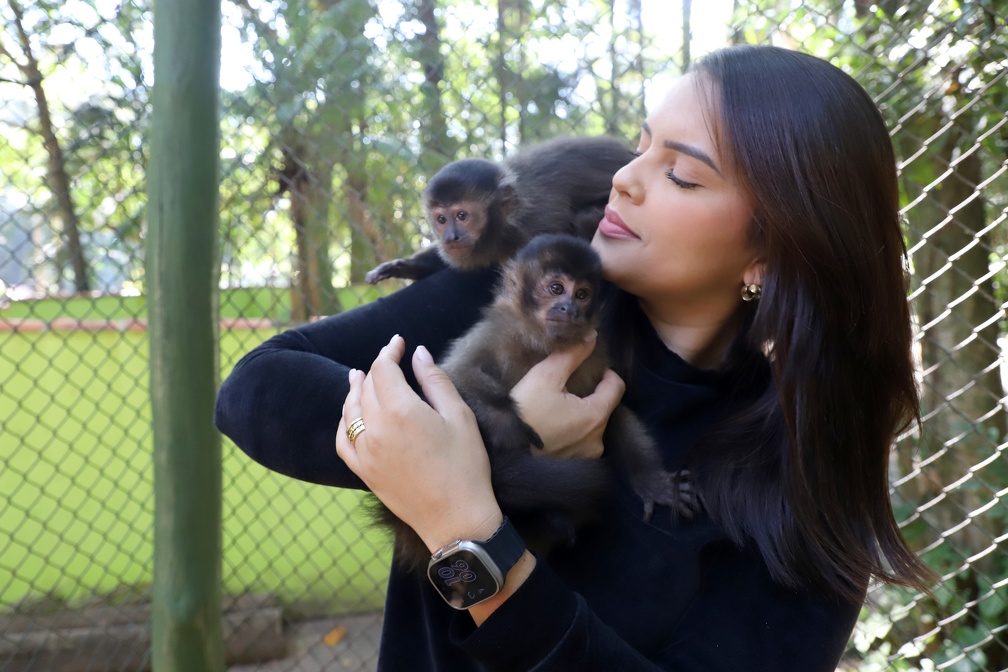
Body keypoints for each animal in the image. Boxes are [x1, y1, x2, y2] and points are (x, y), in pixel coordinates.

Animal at [362, 135, 633, 286]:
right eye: (441, 219)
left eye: (462, 216)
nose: (451, 237)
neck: (507, 222)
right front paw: (402, 266)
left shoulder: (536, 228)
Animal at [366, 233, 697, 572]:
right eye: (556, 289)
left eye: (582, 294)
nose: (569, 308)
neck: (541, 343)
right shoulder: (496, 332)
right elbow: (456, 373)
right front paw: (504, 422)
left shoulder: (594, 356)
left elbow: (615, 412)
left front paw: (652, 481)